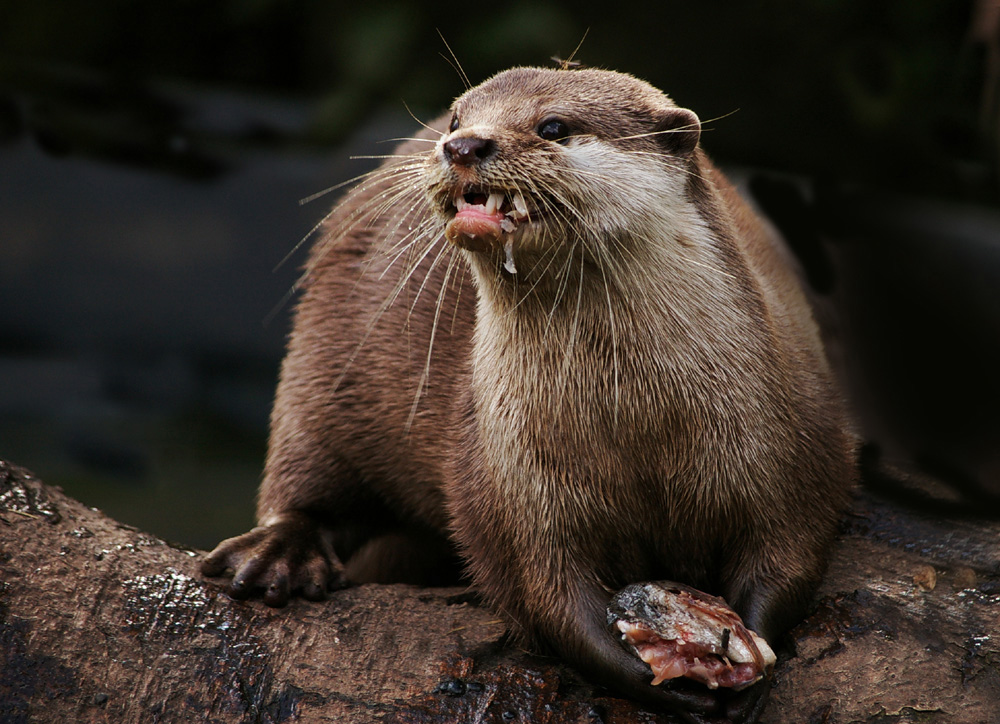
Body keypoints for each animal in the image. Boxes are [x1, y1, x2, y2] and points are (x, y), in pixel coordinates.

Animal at [203, 65, 860, 720]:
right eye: (457, 117)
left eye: (554, 127)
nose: (463, 145)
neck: (639, 426)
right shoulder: (513, 484)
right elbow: (547, 598)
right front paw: (652, 675)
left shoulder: (795, 444)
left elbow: (790, 555)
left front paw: (748, 652)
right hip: (321, 360)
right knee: (306, 469)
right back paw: (278, 553)